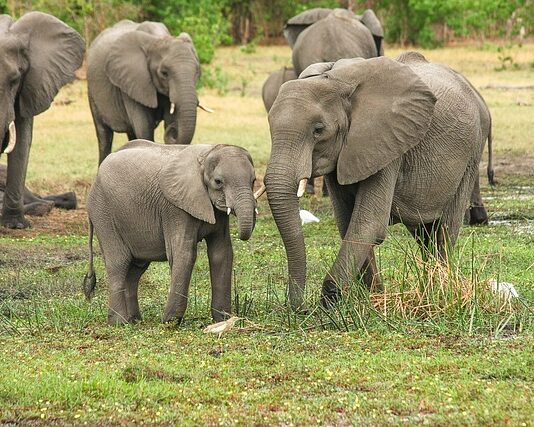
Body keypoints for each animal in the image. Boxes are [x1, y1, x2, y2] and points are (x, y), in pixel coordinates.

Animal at [84, 140, 260, 324]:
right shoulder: (175, 208)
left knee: (135, 269)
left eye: (253, 180)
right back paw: (119, 323)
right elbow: (184, 253)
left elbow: (222, 253)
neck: (207, 154)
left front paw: (223, 320)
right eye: (218, 182)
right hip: (103, 213)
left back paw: (135, 321)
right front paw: (170, 322)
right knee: (119, 263)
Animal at [87, 19, 206, 166]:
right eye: (164, 73)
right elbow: (144, 128)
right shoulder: (132, 81)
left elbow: (169, 119)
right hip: (92, 91)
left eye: (198, 72)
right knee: (104, 136)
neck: (158, 39)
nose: (172, 130)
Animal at [266, 53, 496, 310]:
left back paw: (439, 289)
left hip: (471, 152)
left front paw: (330, 303)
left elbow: (368, 223)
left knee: (444, 229)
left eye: (318, 130)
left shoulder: (388, 145)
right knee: (424, 232)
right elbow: (347, 222)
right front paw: (374, 298)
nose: (300, 308)